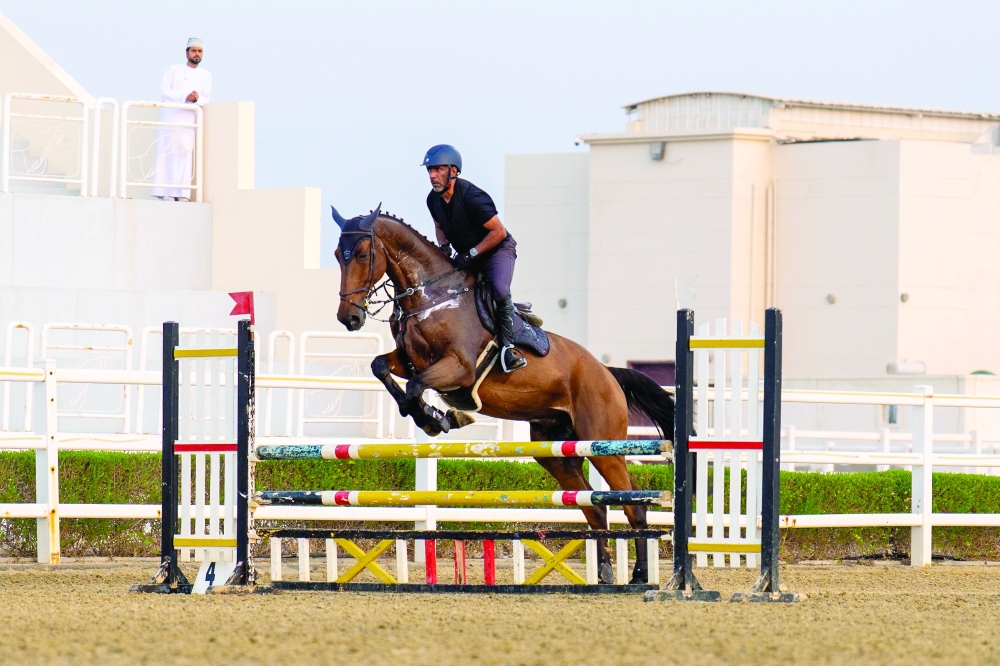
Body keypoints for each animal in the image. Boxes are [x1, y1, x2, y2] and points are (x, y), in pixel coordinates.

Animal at [334, 206, 674, 584]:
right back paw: (604, 573)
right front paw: (438, 416)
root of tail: (607, 372)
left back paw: (640, 576)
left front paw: (440, 419)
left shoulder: (459, 367)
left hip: (602, 443)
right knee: (594, 507)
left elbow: (415, 388)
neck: (431, 298)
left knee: (632, 504)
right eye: (336, 255)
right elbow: (382, 367)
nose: (349, 317)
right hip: (556, 451)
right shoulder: (410, 361)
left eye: (362, 255)